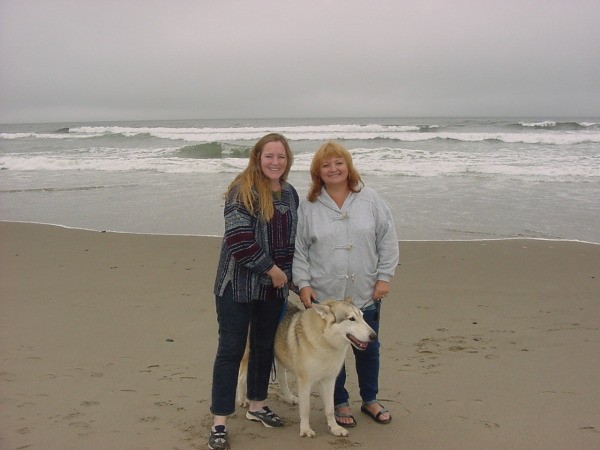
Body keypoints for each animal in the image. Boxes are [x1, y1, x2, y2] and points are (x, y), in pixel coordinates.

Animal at [236, 298, 372, 436]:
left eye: (362, 316)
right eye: (351, 319)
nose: (374, 336)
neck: (325, 342)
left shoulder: (329, 381)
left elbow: (329, 409)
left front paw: (335, 428)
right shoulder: (305, 382)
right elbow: (306, 409)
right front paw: (306, 430)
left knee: (281, 378)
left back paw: (290, 398)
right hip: (251, 354)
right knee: (241, 376)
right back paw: (242, 399)